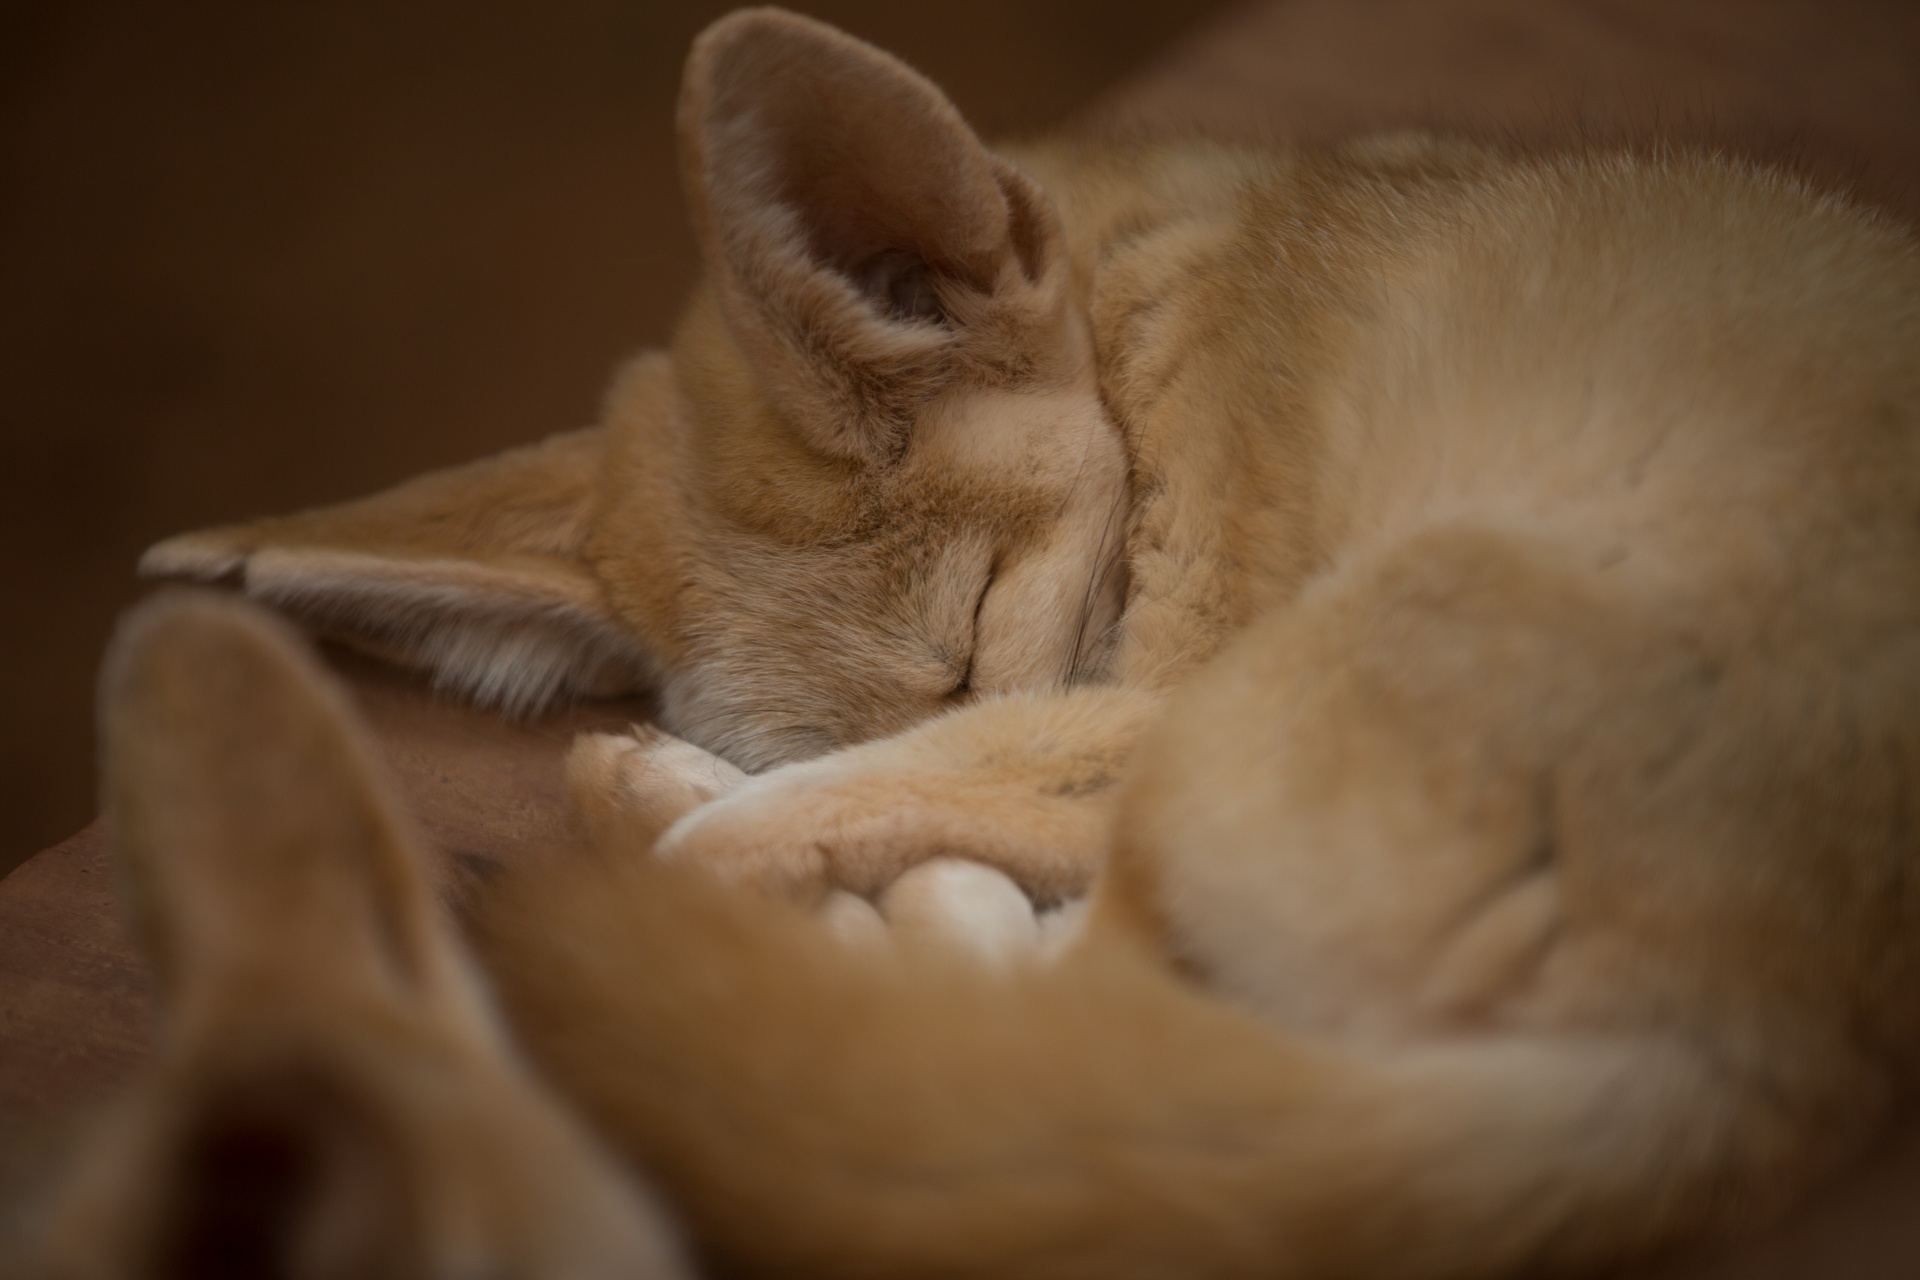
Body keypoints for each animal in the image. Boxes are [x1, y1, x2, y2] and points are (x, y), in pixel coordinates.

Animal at [48, 7, 1920, 1280]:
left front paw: (700, 812)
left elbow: (937, 788)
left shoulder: (1150, 677)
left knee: (1034, 999)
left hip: (1259, 714)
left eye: (965, 629)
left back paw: (690, 829)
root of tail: (1783, 1053)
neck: (1167, 282)